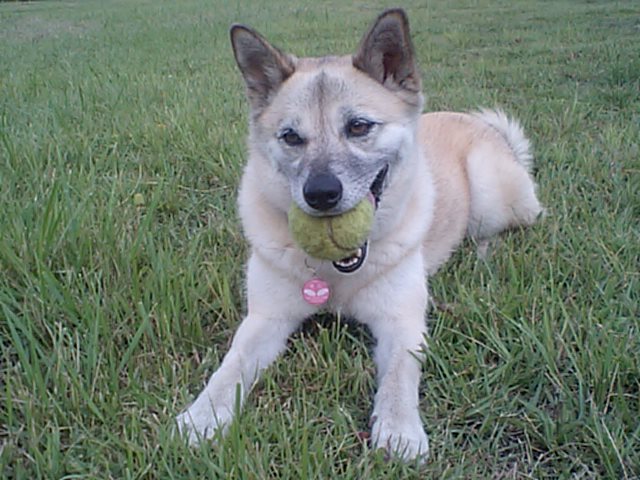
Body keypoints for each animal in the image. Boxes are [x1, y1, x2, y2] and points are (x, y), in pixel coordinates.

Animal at [176, 8, 542, 462]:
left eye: (358, 126)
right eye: (291, 137)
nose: (320, 194)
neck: (336, 275)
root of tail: (476, 122)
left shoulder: (401, 323)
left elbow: (400, 377)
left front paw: (399, 429)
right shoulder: (265, 320)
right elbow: (231, 366)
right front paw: (203, 415)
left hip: (490, 195)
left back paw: (483, 254)